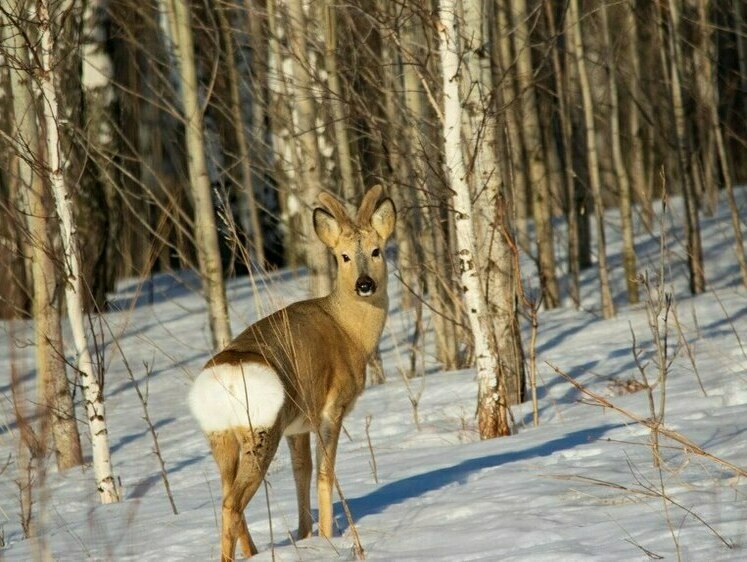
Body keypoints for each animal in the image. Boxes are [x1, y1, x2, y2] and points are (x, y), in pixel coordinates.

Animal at [188, 186, 398, 556]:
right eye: (343, 256)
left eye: (376, 250)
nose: (365, 284)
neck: (350, 332)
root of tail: (223, 376)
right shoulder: (331, 407)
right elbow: (325, 474)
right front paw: (327, 537)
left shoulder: (296, 424)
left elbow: (302, 473)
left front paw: (305, 535)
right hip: (260, 429)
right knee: (232, 503)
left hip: (220, 436)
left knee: (229, 497)